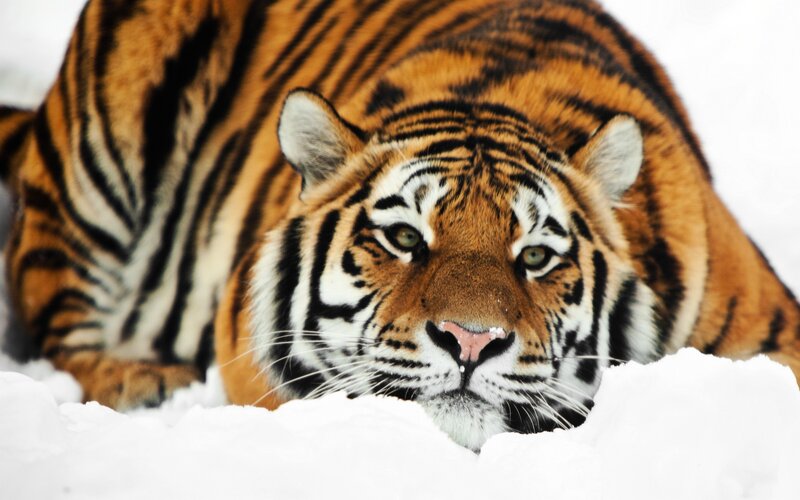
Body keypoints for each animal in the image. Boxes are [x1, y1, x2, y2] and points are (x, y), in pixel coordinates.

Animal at [0, 0, 798, 450]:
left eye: (536, 257)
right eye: (407, 239)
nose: (471, 341)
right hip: (102, 151)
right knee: (57, 318)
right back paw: (144, 380)